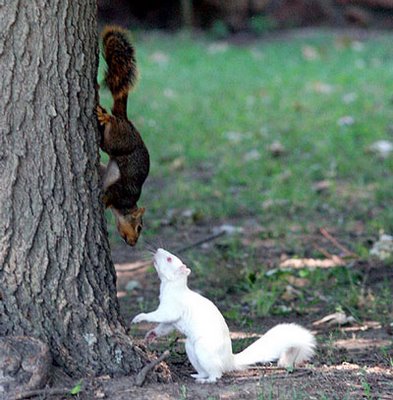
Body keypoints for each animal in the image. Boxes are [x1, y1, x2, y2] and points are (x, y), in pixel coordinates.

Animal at [132, 248, 316, 382]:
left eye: (170, 259)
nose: (157, 250)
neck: (170, 286)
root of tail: (229, 360)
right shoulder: (172, 317)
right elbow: (165, 327)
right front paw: (150, 335)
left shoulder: (172, 307)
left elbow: (161, 316)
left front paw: (139, 318)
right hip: (191, 348)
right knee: (206, 370)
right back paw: (198, 375)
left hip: (204, 350)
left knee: (216, 373)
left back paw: (207, 380)